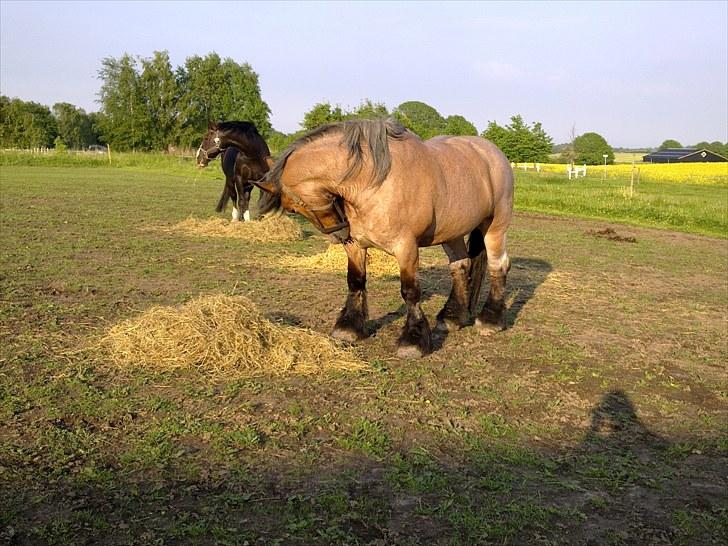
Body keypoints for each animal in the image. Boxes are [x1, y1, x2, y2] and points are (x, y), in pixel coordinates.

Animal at [253, 119, 516, 356]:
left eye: (295, 207)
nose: (339, 233)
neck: (373, 183)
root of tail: (492, 153)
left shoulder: (406, 248)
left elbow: (410, 291)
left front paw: (413, 341)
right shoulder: (355, 246)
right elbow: (355, 281)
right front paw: (349, 328)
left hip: (494, 227)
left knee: (498, 265)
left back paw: (490, 320)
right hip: (452, 233)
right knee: (460, 266)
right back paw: (452, 317)